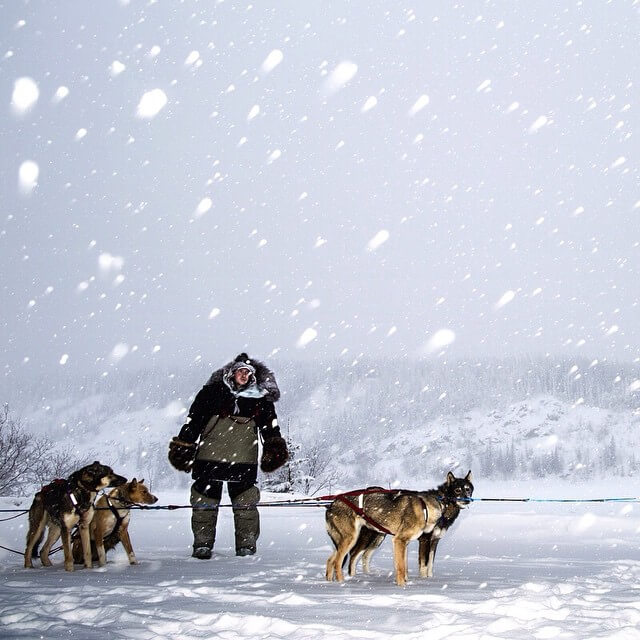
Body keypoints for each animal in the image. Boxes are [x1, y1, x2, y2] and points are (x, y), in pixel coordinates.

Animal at [328, 470, 472, 584]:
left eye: (468, 489)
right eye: (457, 490)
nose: (467, 500)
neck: (425, 508)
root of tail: (332, 504)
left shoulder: (426, 541)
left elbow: (420, 565)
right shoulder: (411, 540)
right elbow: (410, 567)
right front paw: (404, 586)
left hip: (367, 539)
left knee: (333, 560)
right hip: (354, 539)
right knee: (343, 560)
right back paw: (342, 583)